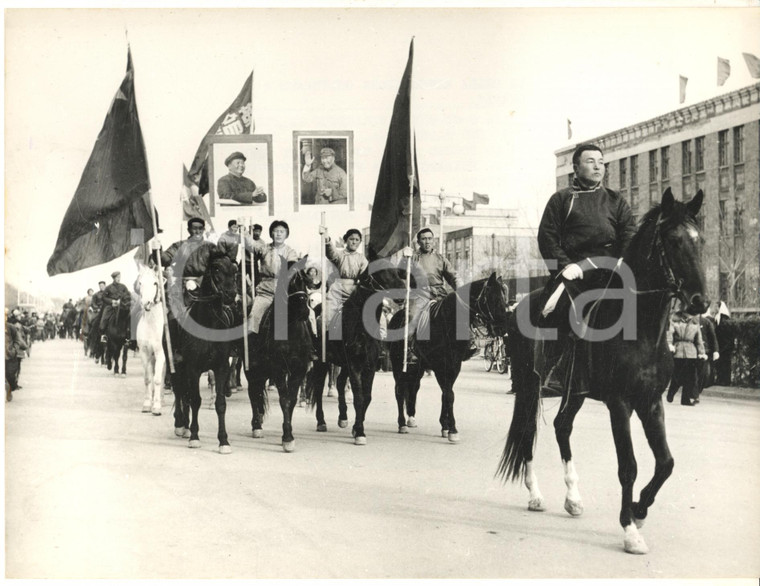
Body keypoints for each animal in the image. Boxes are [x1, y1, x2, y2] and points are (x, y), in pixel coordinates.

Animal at [165, 246, 239, 452]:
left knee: (184, 394)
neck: (209, 324)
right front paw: (195, 437)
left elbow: (220, 403)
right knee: (179, 392)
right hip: (176, 366)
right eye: (216, 268)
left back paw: (186, 425)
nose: (231, 295)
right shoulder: (193, 368)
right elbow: (195, 400)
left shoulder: (221, 367)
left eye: (235, 270)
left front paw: (224, 441)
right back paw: (180, 425)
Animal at [245, 262, 314, 450]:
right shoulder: (278, 370)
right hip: (252, 370)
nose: (304, 310)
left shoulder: (299, 370)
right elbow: (284, 400)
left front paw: (287, 433)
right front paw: (288, 437)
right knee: (253, 392)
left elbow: (291, 399)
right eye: (290, 282)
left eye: (305, 282)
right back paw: (256, 425)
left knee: (257, 392)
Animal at [306, 264, 406, 442]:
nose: (401, 293)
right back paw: (321, 422)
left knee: (339, 382)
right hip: (321, 362)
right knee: (318, 387)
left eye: (396, 271)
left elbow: (366, 396)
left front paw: (355, 427)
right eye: (380, 271)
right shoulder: (354, 364)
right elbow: (359, 397)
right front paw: (359, 432)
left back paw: (343, 418)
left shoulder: (369, 365)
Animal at [388, 272, 508, 440]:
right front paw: (453, 430)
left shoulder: (454, 366)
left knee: (414, 388)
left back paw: (411, 418)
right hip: (398, 365)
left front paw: (445, 426)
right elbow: (448, 395)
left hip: (417, 368)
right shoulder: (440, 366)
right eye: (494, 298)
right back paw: (402, 423)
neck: (448, 323)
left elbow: (446, 394)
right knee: (399, 391)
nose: (502, 329)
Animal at [498, 187, 708, 552]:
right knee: (527, 432)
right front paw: (630, 529)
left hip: (575, 392)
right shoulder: (620, 403)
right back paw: (535, 495)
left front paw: (640, 509)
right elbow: (629, 466)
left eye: (701, 240)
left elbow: (665, 463)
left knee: (562, 426)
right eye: (673, 240)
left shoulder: (651, 402)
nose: (700, 301)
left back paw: (573, 497)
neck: (641, 328)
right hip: (528, 385)